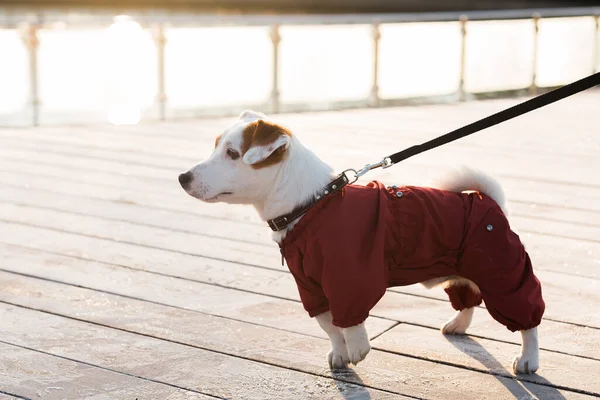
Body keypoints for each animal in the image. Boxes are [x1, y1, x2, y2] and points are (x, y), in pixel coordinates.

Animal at [177, 109, 544, 376]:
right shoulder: (311, 287)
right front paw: (339, 354)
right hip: (468, 270)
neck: (309, 206)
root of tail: (487, 200)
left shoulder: (349, 278)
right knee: (467, 297)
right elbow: (328, 325)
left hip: (504, 274)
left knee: (527, 320)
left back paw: (528, 359)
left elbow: (350, 321)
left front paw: (358, 349)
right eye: (216, 146)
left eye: (232, 153)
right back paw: (457, 325)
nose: (182, 177)